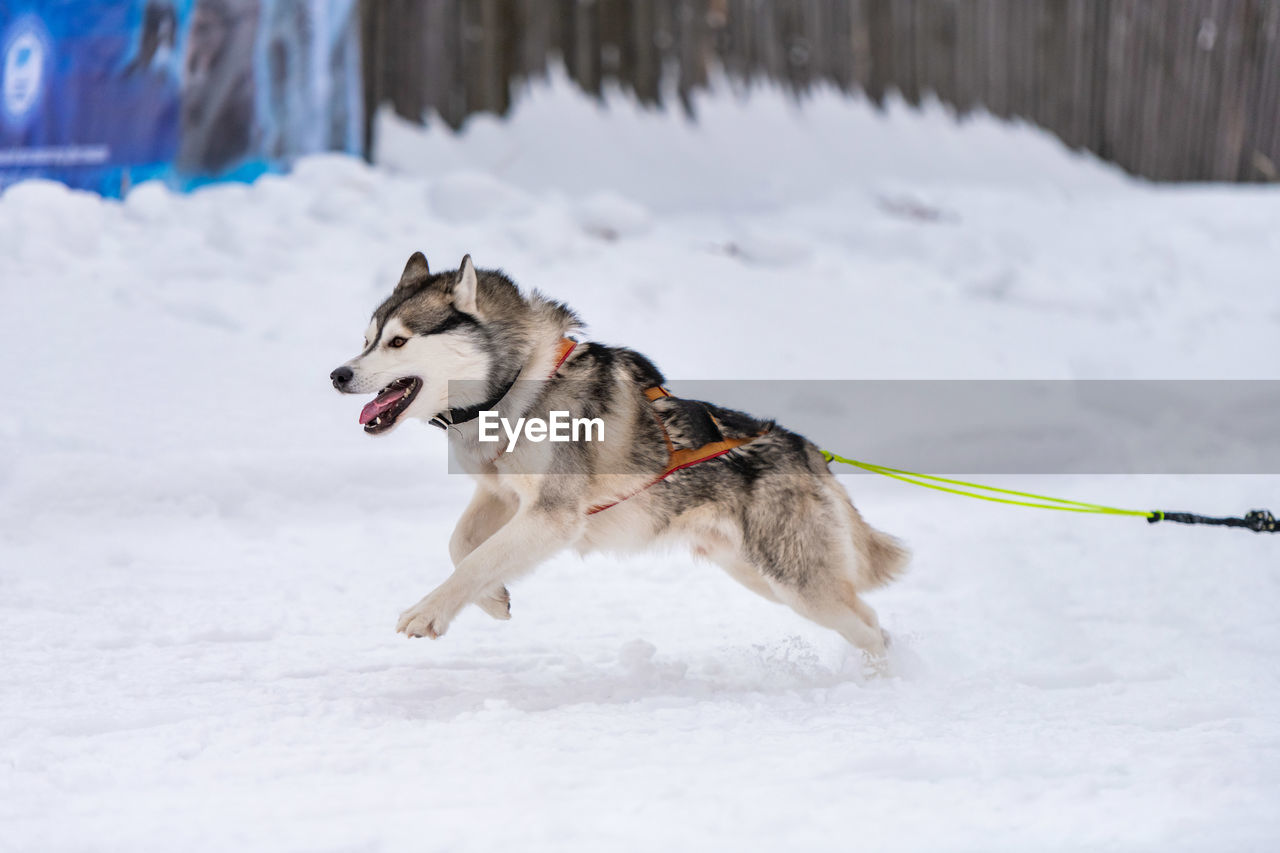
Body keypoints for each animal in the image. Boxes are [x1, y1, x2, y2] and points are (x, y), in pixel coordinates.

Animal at [330, 252, 911, 655]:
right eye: (365, 340)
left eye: (399, 342)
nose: (338, 374)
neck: (517, 385)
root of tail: (808, 450)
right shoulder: (503, 494)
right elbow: (463, 546)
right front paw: (492, 599)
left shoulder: (553, 515)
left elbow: (479, 558)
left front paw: (428, 612)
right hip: (764, 577)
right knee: (867, 621)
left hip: (796, 581)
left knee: (871, 628)